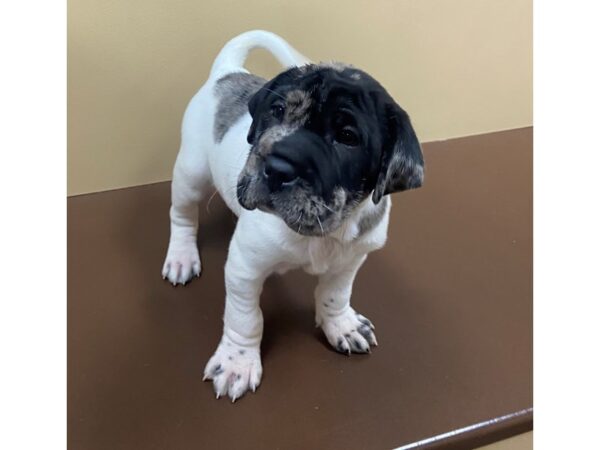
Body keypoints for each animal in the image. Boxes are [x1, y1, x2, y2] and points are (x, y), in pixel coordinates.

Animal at [162, 29, 424, 400]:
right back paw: (182, 256)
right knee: (182, 214)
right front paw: (237, 361)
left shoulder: (351, 261)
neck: (323, 230)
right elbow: (246, 318)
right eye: (278, 110)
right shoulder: (244, 269)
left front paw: (341, 324)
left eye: (348, 137)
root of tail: (226, 72)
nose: (276, 167)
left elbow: (335, 294)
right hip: (192, 173)